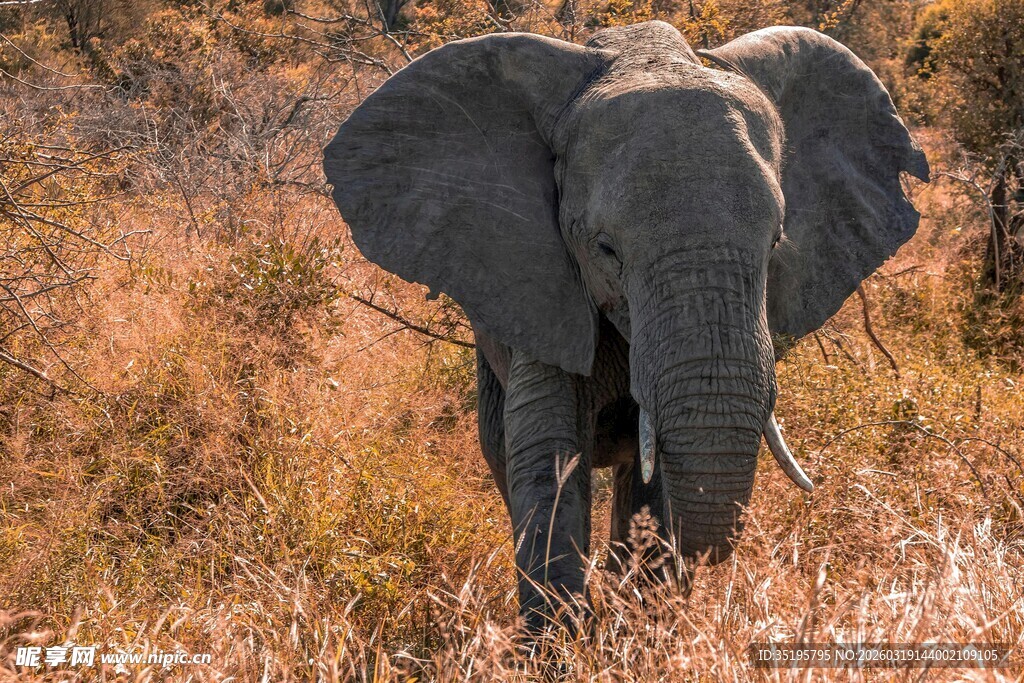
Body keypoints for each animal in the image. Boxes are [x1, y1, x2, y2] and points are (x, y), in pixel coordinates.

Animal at [323, 21, 929, 627]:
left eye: (777, 241)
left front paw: (641, 627)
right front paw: (560, 638)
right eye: (605, 249)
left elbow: (652, 478)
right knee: (501, 446)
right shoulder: (540, 285)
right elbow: (548, 454)